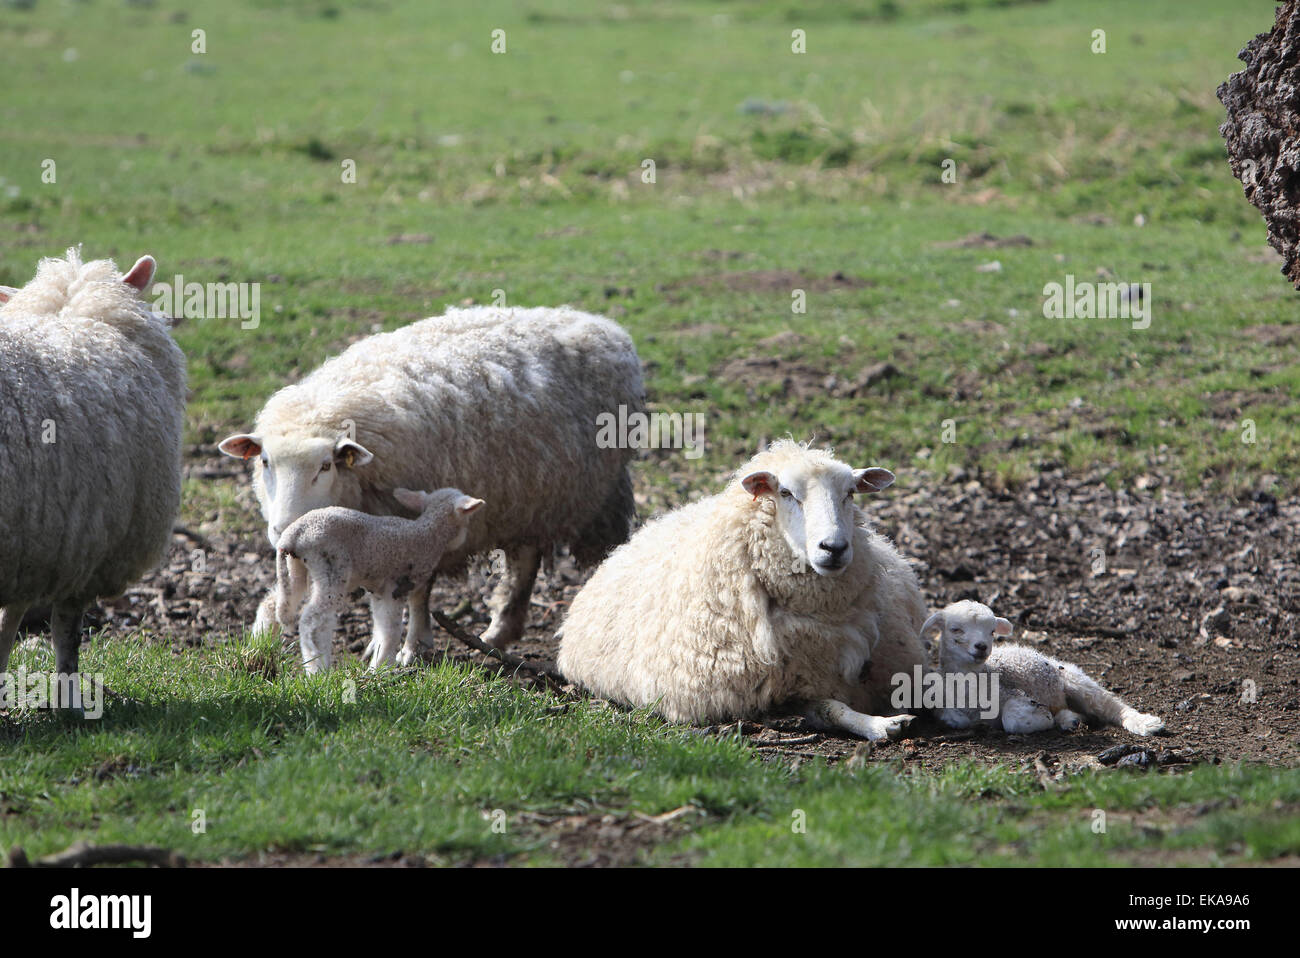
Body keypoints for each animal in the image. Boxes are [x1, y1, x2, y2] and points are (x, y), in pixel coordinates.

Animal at [274, 486, 483, 670]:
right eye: (467, 520)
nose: (465, 540)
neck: (429, 534)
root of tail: (293, 535)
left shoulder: (378, 591)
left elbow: (380, 626)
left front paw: (378, 661)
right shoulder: (396, 587)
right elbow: (392, 630)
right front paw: (381, 666)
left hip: (295, 569)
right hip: (331, 569)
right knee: (312, 622)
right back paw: (317, 668)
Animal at [553, 439, 930, 738]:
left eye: (850, 493)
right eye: (786, 493)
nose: (834, 548)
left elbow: (831, 705)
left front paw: (882, 722)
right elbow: (828, 707)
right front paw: (880, 724)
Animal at [925, 600, 1170, 738]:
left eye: (992, 632)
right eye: (955, 629)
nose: (981, 647)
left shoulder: (1014, 694)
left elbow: (1012, 720)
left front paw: (1043, 719)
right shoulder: (948, 710)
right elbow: (955, 718)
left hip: (1074, 679)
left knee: (1109, 705)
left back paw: (1145, 723)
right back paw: (1068, 718)